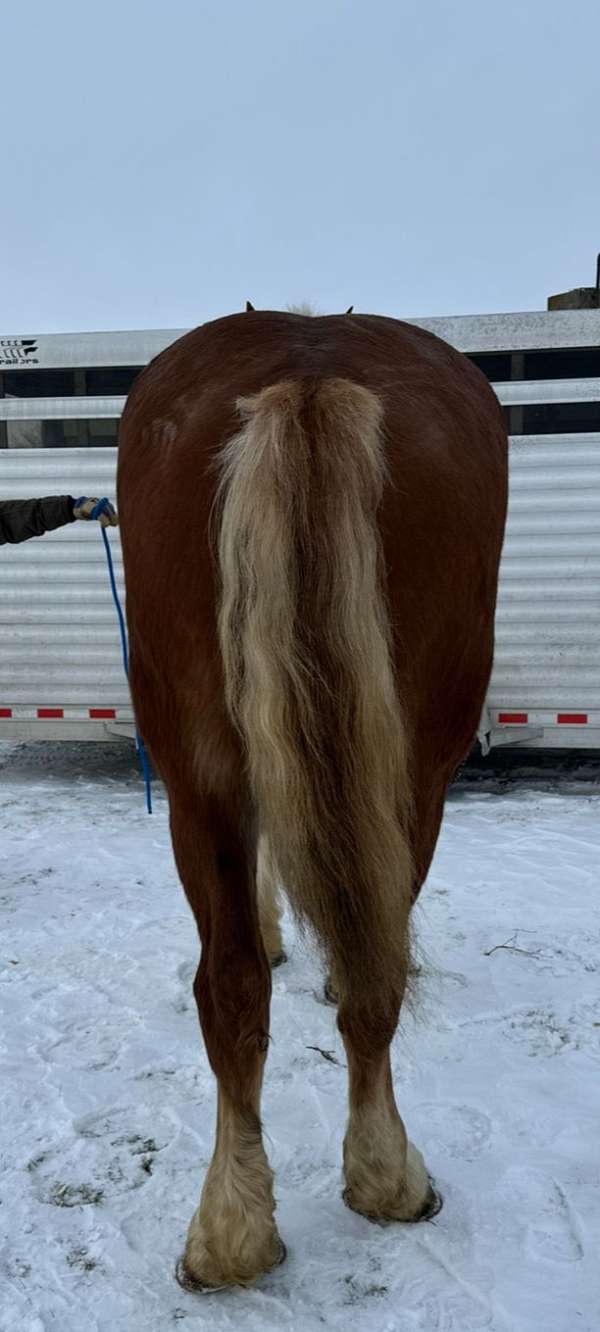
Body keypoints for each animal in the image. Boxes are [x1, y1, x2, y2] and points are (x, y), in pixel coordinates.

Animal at [116, 305, 506, 1289]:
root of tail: (308, 372)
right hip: (418, 776)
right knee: (362, 972)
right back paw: (379, 1183)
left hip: (206, 777)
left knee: (234, 983)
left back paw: (234, 1230)